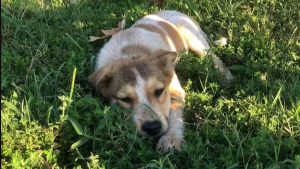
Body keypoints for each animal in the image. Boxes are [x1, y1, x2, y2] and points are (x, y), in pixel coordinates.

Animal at [88, 10, 233, 152]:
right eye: (124, 99)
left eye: (159, 91)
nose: (152, 127)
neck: (129, 52)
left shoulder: (175, 90)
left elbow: (174, 113)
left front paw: (172, 138)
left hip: (195, 40)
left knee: (214, 58)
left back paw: (226, 77)